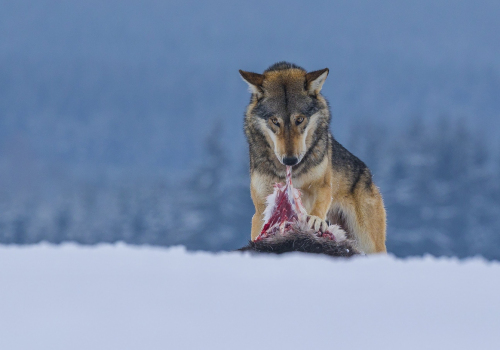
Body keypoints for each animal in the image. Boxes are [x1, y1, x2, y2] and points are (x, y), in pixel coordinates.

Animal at [238, 61, 386, 253]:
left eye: (300, 119)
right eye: (275, 121)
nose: (290, 160)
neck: (291, 172)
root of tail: (368, 174)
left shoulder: (322, 186)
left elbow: (319, 205)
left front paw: (315, 220)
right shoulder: (262, 206)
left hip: (369, 242)